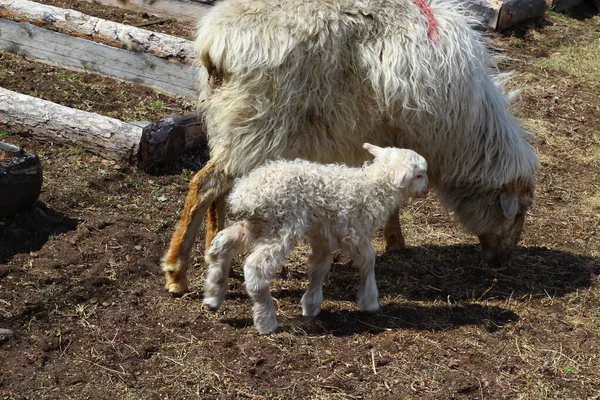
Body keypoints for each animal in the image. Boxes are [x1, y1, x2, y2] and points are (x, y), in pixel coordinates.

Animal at [159, 0, 540, 296]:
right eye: (519, 211)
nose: (502, 263)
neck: (468, 135)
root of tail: (214, 44)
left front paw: (394, 239)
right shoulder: (404, 134)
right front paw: (396, 240)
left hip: (229, 123)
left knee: (219, 190)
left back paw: (216, 255)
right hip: (258, 124)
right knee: (204, 185)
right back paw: (177, 272)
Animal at [204, 144, 428, 334]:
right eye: (419, 175)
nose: (426, 190)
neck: (374, 188)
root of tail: (245, 196)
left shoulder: (323, 236)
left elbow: (319, 267)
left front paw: (311, 304)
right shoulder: (355, 233)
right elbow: (368, 261)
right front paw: (369, 301)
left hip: (258, 225)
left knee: (222, 244)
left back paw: (213, 295)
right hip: (282, 225)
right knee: (256, 268)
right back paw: (266, 321)